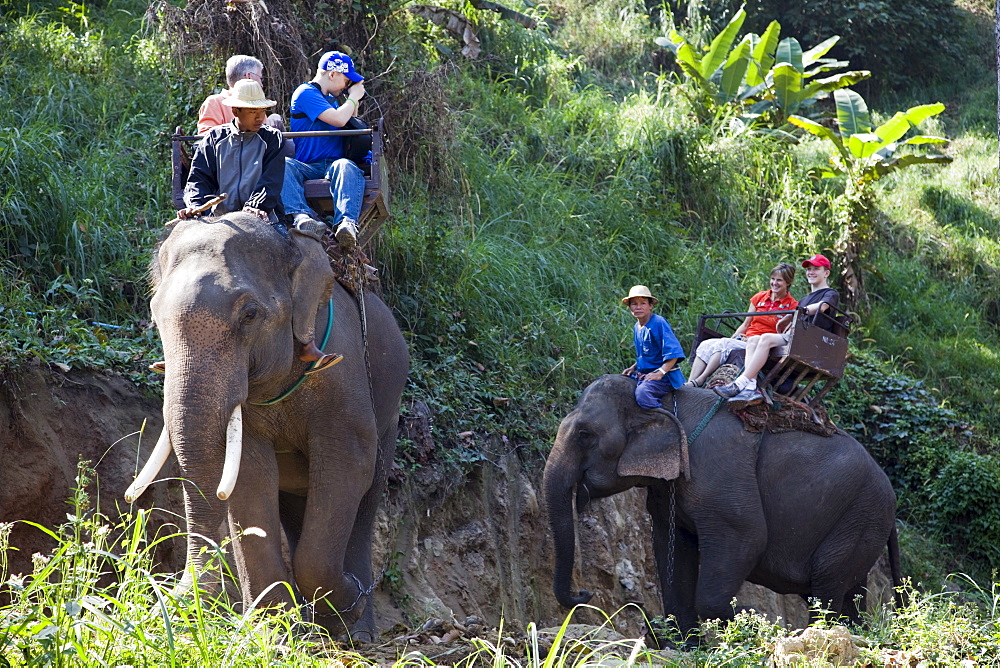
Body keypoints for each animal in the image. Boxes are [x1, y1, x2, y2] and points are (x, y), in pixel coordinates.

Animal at [127, 211, 408, 640]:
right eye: (155, 315)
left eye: (250, 314)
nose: (178, 598)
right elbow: (249, 476)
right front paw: (271, 632)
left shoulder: (342, 370)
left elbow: (348, 463)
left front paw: (341, 609)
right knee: (294, 503)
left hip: (389, 404)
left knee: (369, 492)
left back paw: (355, 626)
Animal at [544, 374, 904, 636]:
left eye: (585, 435)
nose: (584, 595)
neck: (662, 399)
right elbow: (671, 548)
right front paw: (687, 647)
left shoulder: (721, 477)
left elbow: (747, 537)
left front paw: (750, 625)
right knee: (845, 594)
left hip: (860, 516)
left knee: (826, 589)